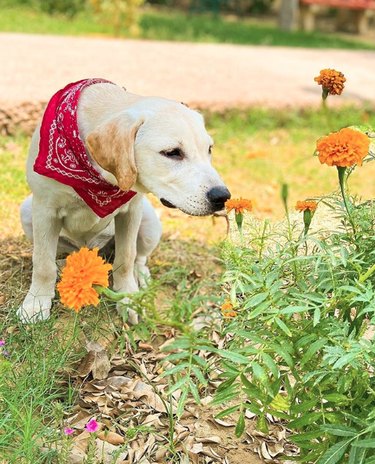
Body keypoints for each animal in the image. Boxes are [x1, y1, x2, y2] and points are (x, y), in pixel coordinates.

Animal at [18, 79, 232, 322]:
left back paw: (141, 277)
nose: (222, 196)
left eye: (209, 149)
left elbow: (126, 258)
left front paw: (128, 298)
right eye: (172, 152)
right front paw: (36, 303)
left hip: (149, 223)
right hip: (27, 212)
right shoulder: (45, 210)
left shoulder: (131, 211)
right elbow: (43, 263)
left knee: (139, 258)